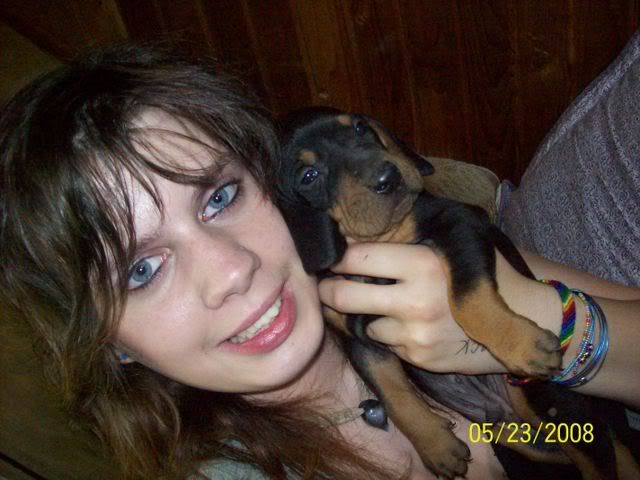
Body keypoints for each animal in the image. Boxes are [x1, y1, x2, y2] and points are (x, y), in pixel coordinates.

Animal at [276, 107, 639, 479]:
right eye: (308, 176)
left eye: (361, 128)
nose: (387, 177)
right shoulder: (358, 339)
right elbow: (392, 391)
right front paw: (436, 446)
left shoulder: (458, 222)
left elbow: (468, 298)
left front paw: (520, 344)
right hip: (523, 441)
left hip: (544, 399)